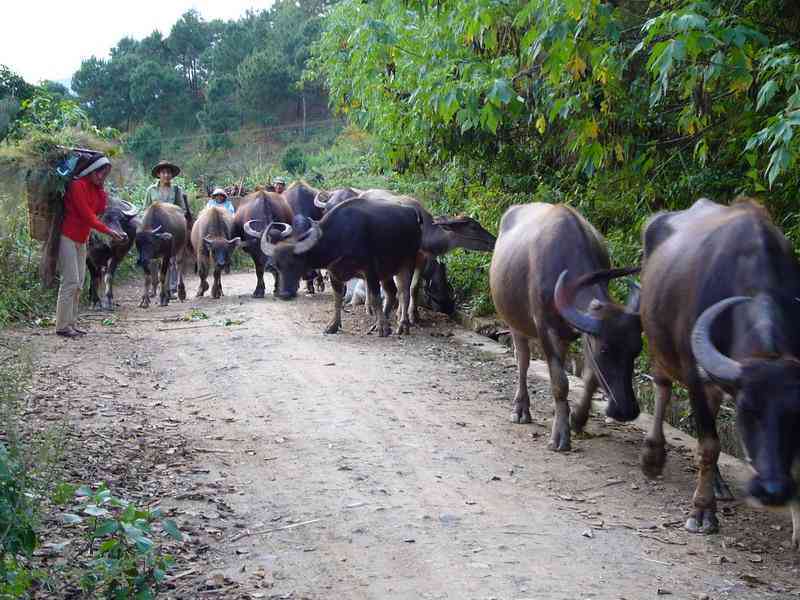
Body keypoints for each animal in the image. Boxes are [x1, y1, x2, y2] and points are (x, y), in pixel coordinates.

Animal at [258, 197, 424, 338]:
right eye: (277, 266)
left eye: (294, 264)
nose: (284, 294)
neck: (342, 236)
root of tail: (412, 212)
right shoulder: (334, 273)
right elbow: (337, 299)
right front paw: (333, 325)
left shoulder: (370, 271)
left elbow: (375, 297)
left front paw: (383, 329)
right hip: (386, 270)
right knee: (391, 293)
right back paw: (378, 324)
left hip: (407, 263)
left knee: (404, 293)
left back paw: (401, 326)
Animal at [488, 204, 644, 452]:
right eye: (605, 350)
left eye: (636, 351)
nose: (626, 411)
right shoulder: (544, 327)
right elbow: (560, 382)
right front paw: (560, 434)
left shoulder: (584, 334)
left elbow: (590, 378)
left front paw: (577, 419)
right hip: (515, 322)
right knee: (522, 360)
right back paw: (521, 409)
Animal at [640, 198, 800, 544]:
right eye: (746, 412)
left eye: (797, 416)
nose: (772, 490)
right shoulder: (694, 375)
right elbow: (709, 445)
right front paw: (702, 512)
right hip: (658, 342)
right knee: (662, 387)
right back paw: (653, 456)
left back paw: (717, 483)